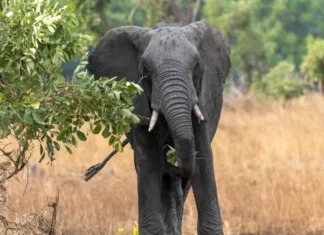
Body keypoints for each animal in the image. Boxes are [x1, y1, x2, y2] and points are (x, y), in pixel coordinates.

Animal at [86, 21, 230, 234]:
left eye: (197, 67)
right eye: (145, 71)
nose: (175, 159)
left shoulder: (202, 101)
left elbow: (203, 161)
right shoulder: (139, 107)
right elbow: (149, 165)